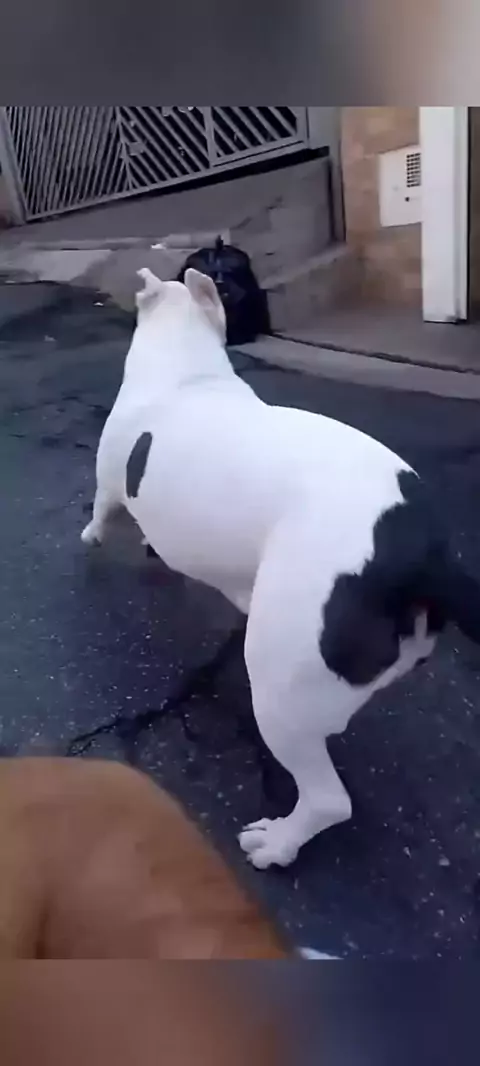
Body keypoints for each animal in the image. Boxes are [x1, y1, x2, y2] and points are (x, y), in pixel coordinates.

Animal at [82, 266, 480, 870]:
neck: (189, 373)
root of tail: (422, 552)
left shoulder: (108, 481)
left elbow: (101, 509)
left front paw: (92, 536)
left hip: (277, 683)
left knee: (326, 799)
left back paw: (277, 844)